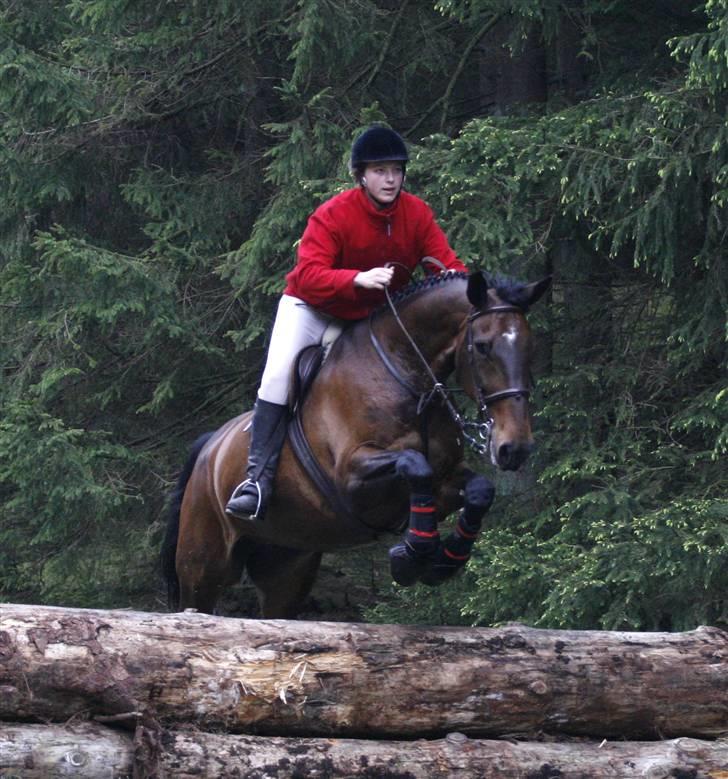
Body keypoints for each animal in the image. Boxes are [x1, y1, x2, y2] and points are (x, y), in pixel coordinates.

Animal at [161, 272, 544, 620]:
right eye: (482, 346)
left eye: (530, 347)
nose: (515, 447)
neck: (408, 379)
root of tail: (210, 446)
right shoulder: (351, 479)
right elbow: (414, 464)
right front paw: (412, 555)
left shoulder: (447, 478)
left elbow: (480, 490)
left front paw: (444, 561)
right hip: (203, 563)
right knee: (196, 602)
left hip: (287, 566)